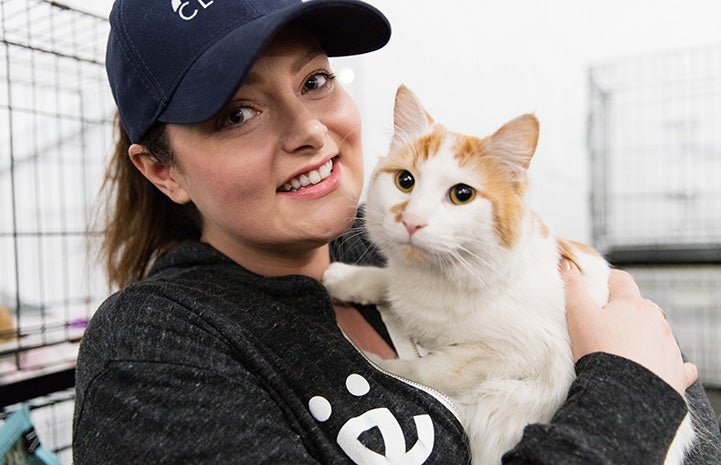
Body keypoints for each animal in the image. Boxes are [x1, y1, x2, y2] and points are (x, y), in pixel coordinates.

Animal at [320, 85, 692, 462]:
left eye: (462, 194)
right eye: (404, 181)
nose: (412, 221)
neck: (437, 279)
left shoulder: (515, 357)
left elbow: (428, 370)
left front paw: (375, 361)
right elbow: (387, 280)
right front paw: (344, 279)